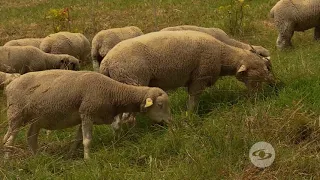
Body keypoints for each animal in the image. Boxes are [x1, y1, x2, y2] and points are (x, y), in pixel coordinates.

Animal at [3, 69, 172, 160]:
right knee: (8, 141)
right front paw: (87, 159)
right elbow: (87, 140)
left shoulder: (83, 116)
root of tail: (9, 86)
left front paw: (71, 155)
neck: (113, 92)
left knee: (31, 138)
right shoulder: (87, 113)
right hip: (16, 114)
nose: (170, 123)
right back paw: (7, 159)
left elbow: (78, 139)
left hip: (37, 119)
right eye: (160, 105)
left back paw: (37, 157)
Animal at [100, 30, 276, 112]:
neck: (222, 55)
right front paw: (190, 115)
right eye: (262, 68)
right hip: (130, 79)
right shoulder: (200, 77)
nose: (274, 84)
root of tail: (106, 63)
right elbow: (193, 99)